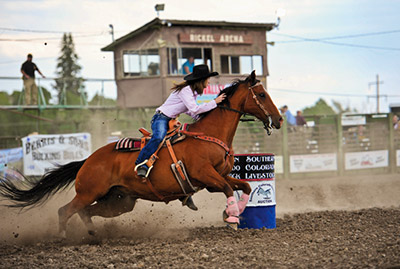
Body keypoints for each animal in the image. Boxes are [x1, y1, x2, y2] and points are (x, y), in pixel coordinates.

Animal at [0, 70, 282, 234]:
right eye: (261, 94)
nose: (279, 120)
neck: (209, 134)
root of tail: (87, 160)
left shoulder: (216, 178)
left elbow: (244, 186)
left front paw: (232, 212)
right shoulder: (205, 175)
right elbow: (227, 188)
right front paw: (232, 218)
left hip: (119, 201)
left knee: (85, 212)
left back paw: (92, 236)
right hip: (89, 192)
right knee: (65, 211)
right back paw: (64, 239)